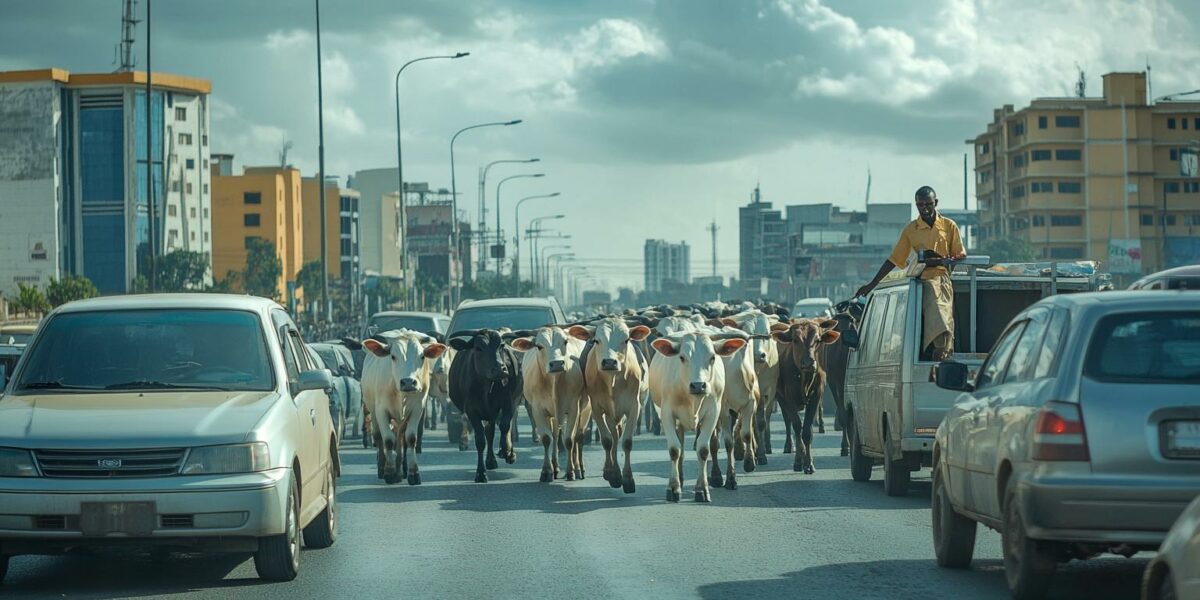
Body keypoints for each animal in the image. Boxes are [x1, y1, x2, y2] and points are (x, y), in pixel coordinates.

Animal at [362, 331, 448, 484]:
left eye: (422, 356)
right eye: (393, 356)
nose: (408, 382)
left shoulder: (417, 409)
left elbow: (411, 439)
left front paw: (413, 473)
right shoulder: (381, 411)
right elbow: (388, 440)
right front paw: (389, 473)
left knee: (401, 439)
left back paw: (401, 470)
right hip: (372, 411)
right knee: (379, 437)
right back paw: (382, 468)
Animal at [451, 328, 525, 482]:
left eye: (501, 346)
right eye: (479, 348)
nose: (500, 369)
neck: (487, 385)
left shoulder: (508, 403)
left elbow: (504, 426)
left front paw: (506, 451)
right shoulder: (472, 411)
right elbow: (480, 441)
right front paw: (480, 473)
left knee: (495, 430)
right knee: (489, 433)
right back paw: (490, 461)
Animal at [652, 331, 744, 504]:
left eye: (712, 357)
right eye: (682, 357)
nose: (698, 385)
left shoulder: (712, 413)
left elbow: (703, 450)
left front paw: (702, 489)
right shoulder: (666, 414)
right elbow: (675, 449)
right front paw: (673, 487)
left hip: (723, 411)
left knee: (727, 443)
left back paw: (729, 479)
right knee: (681, 447)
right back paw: (681, 479)